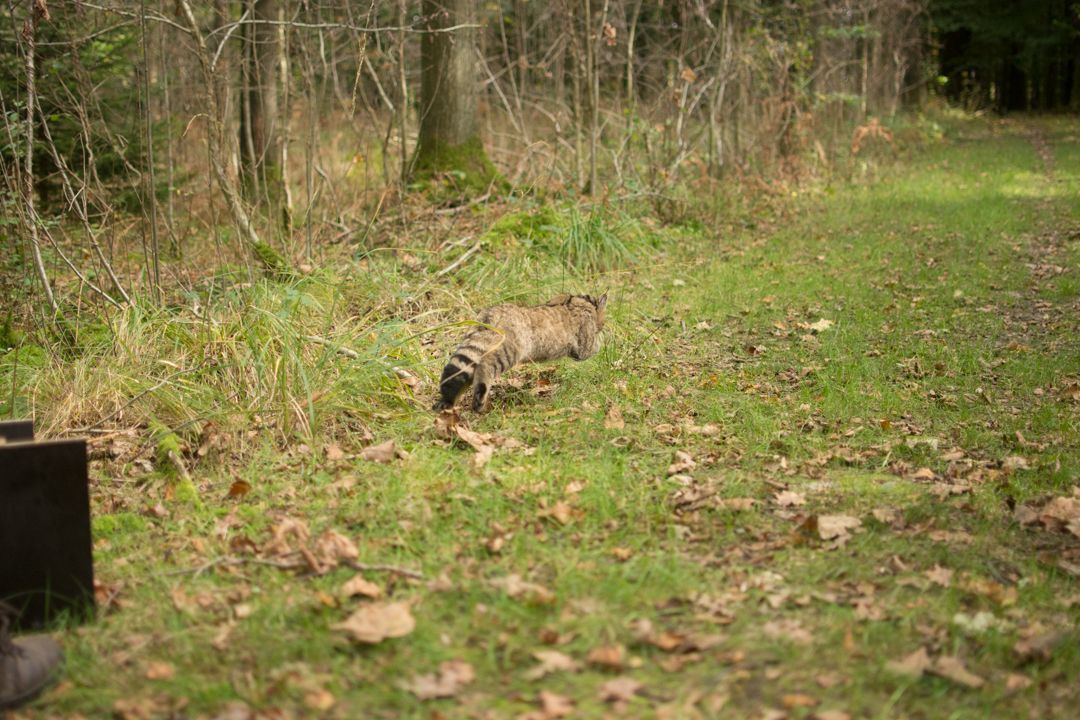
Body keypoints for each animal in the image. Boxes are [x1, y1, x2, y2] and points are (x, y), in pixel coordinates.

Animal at [432, 293, 609, 410]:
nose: (603, 325)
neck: (583, 302)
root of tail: (492, 313)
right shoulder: (584, 346)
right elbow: (595, 345)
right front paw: (603, 340)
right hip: (507, 352)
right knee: (485, 367)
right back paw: (478, 400)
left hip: (477, 345)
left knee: (460, 373)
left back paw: (449, 401)